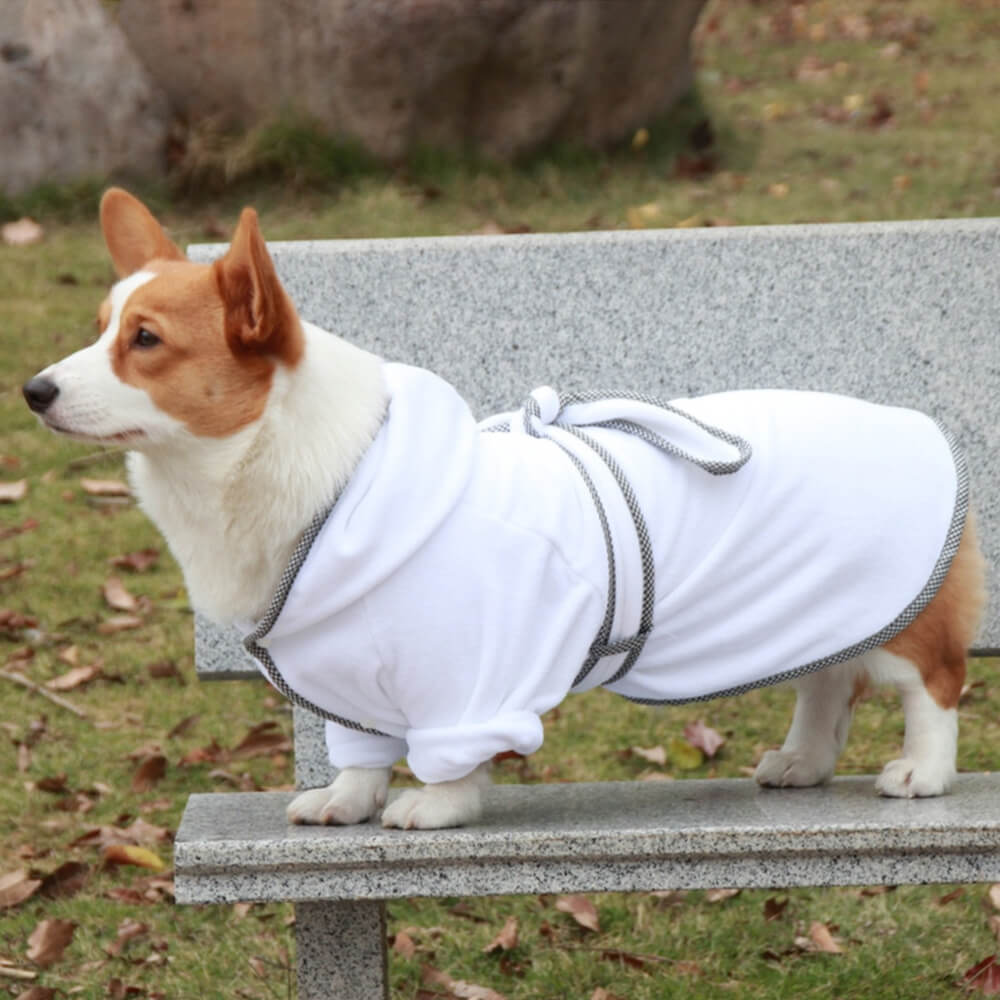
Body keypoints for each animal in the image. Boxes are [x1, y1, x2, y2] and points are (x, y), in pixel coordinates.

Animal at [21, 191, 984, 832]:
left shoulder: (471, 674)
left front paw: (434, 805)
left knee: (934, 684)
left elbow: (457, 751)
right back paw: (805, 762)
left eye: (146, 340)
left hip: (902, 624)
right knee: (827, 679)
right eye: (100, 326)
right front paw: (347, 799)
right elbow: (361, 752)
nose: (33, 391)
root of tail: (913, 422)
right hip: (817, 614)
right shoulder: (350, 679)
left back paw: (923, 773)